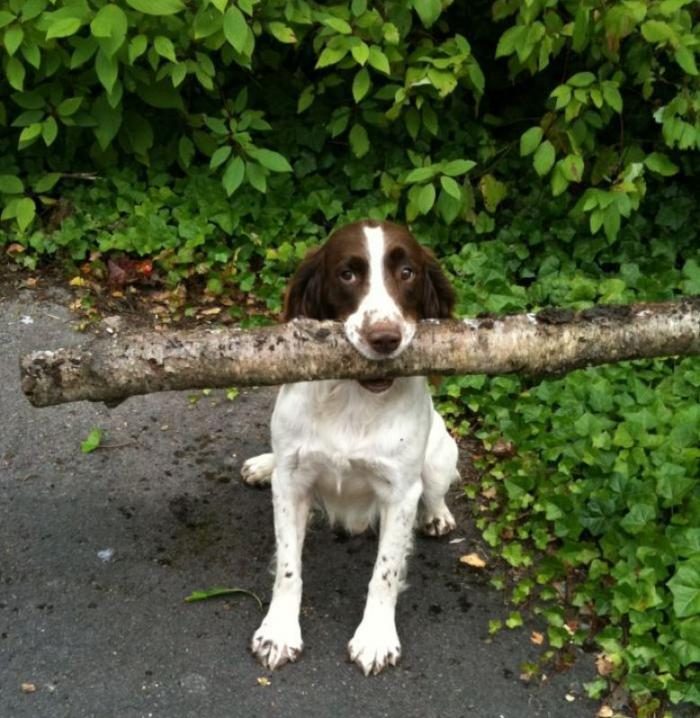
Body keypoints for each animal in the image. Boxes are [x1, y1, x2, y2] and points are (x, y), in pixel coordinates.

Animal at [241, 219, 460, 675]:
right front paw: (279, 631)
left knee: (435, 490)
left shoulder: (400, 493)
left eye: (407, 272)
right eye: (347, 274)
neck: (353, 399)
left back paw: (436, 516)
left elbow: (386, 572)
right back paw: (263, 466)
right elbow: (288, 567)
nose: (384, 338)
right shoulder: (292, 485)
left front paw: (375, 637)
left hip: (441, 453)